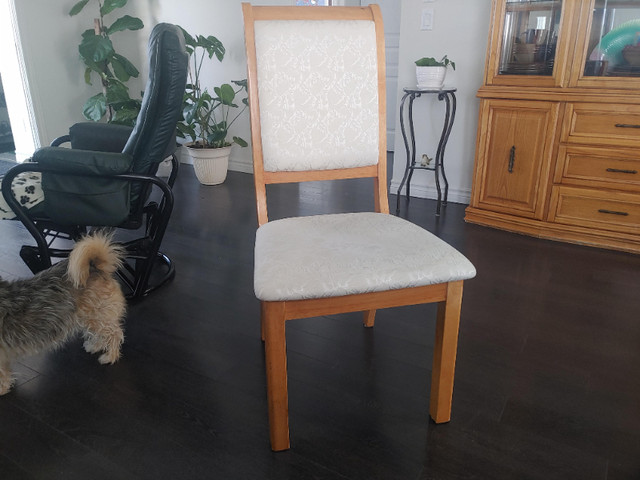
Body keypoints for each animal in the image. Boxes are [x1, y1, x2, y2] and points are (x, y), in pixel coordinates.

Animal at [0, 232, 127, 394]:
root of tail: (95, 268)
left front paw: (2, 388)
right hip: (91, 317)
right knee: (101, 333)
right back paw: (95, 346)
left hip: (98, 316)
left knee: (115, 333)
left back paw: (110, 356)